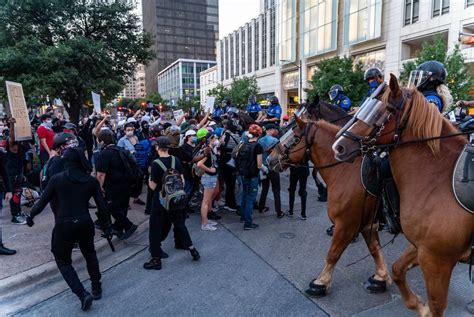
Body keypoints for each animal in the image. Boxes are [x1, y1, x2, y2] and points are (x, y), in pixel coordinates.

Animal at [266, 100, 392, 296]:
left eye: (294, 137)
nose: (270, 159)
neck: (346, 169)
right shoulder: (368, 223)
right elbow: (374, 249)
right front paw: (381, 278)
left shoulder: (347, 224)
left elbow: (333, 253)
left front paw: (321, 282)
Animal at [334, 73, 474, 314]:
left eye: (382, 111)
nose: (339, 146)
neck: (438, 178)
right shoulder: (421, 247)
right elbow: (398, 270)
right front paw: (417, 305)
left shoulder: (437, 260)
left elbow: (437, 305)